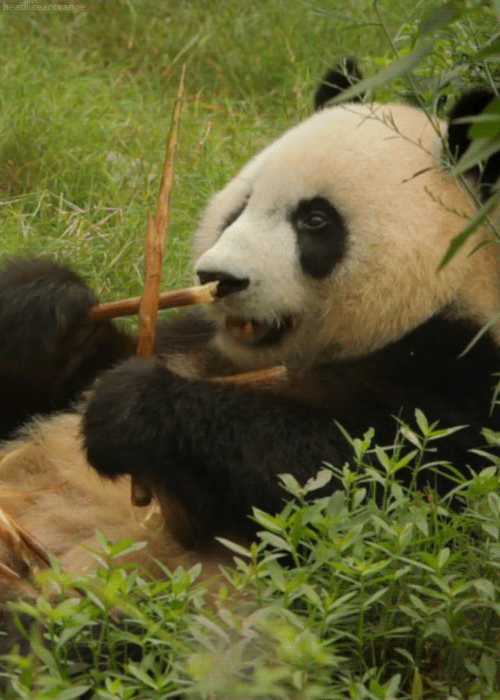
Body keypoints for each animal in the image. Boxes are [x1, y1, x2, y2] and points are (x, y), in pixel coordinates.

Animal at [0, 63, 499, 588]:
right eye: (239, 207)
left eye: (315, 220)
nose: (217, 278)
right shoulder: (192, 338)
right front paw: (43, 311)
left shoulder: (458, 381)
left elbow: (351, 479)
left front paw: (134, 409)